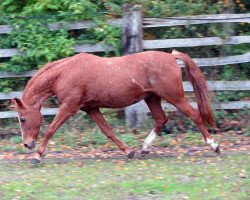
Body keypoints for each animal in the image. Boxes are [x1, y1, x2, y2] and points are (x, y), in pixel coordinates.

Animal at [12, 50, 219, 164]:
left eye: (23, 118)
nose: (27, 144)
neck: (64, 74)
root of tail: (171, 57)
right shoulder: (90, 108)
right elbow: (107, 131)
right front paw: (129, 152)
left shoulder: (69, 106)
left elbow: (51, 130)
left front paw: (37, 156)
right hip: (152, 98)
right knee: (161, 119)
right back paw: (144, 148)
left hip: (174, 97)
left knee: (195, 116)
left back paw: (214, 145)